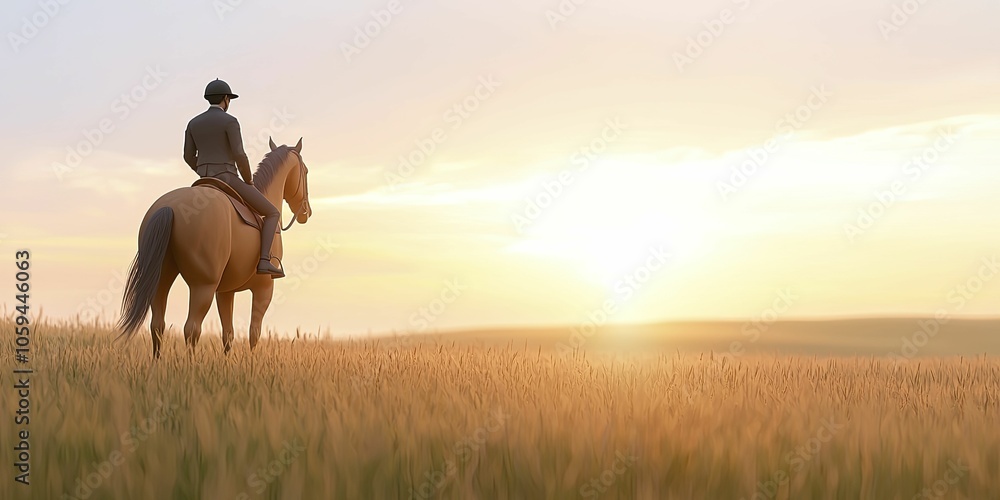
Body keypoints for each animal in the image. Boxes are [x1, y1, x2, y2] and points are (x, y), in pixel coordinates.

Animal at [116, 138, 312, 359]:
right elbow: (254, 333)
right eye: (305, 171)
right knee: (192, 328)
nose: (306, 213)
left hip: (162, 279)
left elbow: (228, 333)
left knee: (158, 325)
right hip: (203, 285)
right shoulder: (264, 289)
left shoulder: (225, 291)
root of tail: (170, 206)